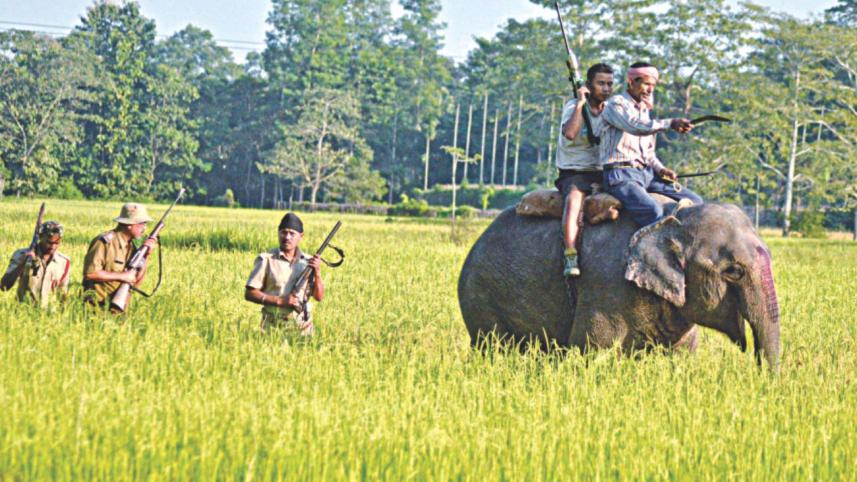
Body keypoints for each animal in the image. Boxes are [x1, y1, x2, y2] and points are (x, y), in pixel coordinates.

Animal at [457, 200, 780, 370]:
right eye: (734, 271)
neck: (672, 220)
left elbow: (681, 357)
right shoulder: (606, 289)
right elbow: (591, 351)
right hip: (480, 295)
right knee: (493, 345)